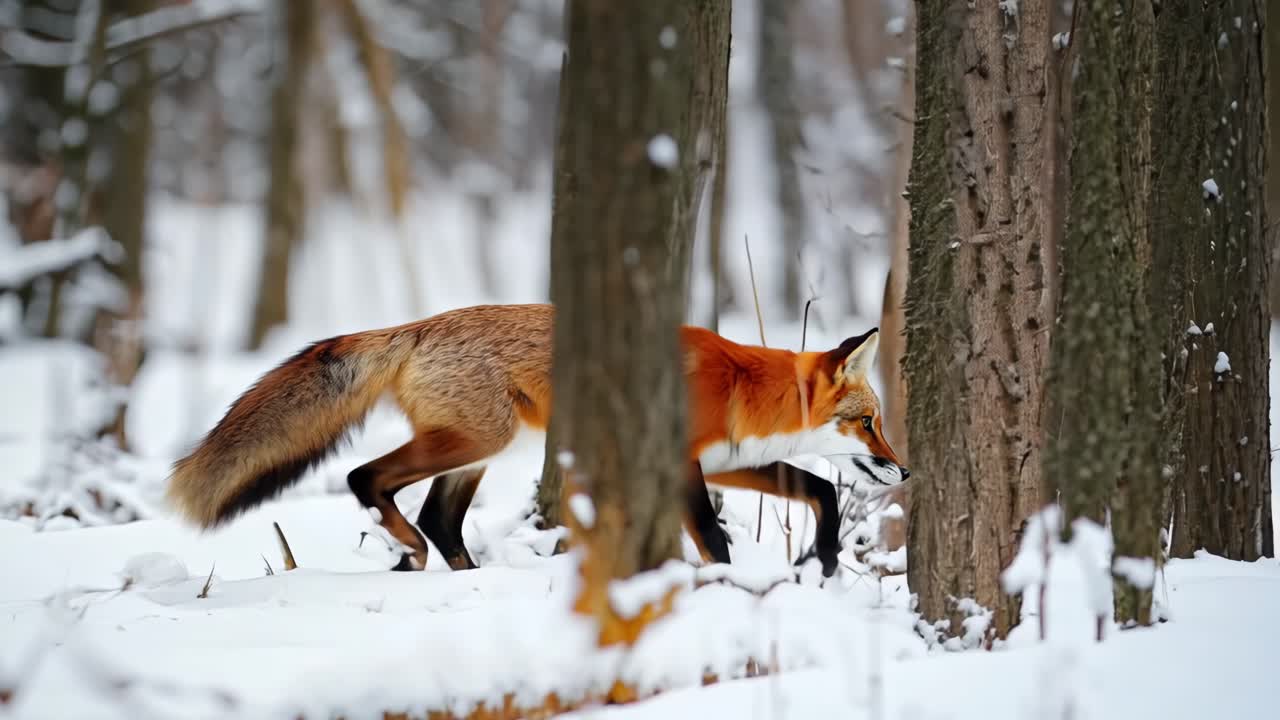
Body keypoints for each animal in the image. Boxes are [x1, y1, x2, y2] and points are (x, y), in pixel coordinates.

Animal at [166, 304, 908, 577]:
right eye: (869, 422)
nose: (903, 472)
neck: (739, 388)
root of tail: (418, 325)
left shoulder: (722, 462)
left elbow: (819, 489)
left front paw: (825, 559)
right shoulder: (681, 463)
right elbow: (713, 537)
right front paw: (729, 586)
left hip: (482, 452)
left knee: (439, 517)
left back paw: (456, 575)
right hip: (475, 439)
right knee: (367, 479)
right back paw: (412, 552)